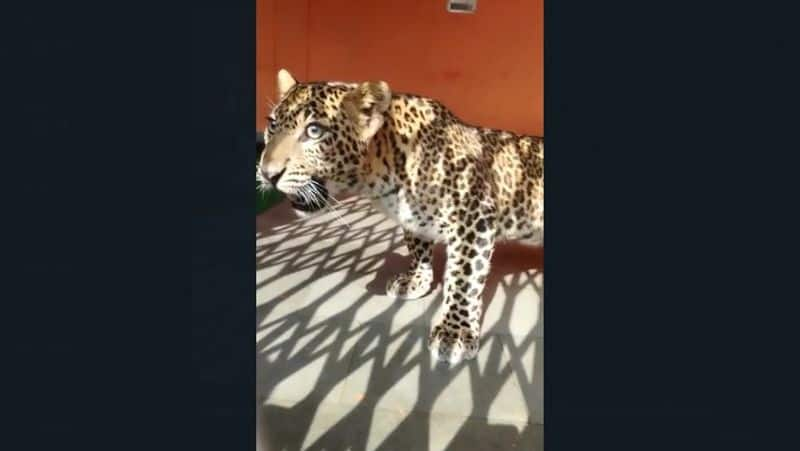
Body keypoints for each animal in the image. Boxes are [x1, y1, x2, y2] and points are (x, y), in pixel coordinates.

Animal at [258, 69, 544, 368]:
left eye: (314, 131)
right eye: (272, 125)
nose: (267, 174)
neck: (382, 167)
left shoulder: (474, 216)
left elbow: (464, 277)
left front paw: (454, 332)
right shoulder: (413, 215)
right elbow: (418, 247)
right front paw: (416, 281)